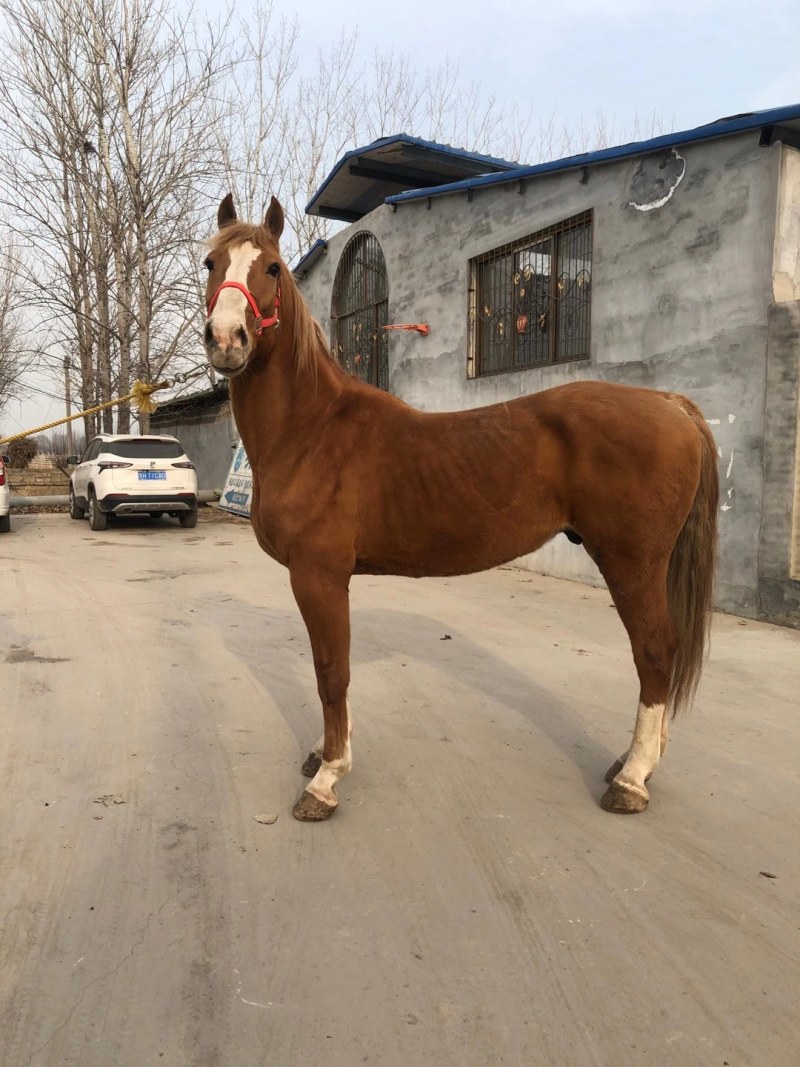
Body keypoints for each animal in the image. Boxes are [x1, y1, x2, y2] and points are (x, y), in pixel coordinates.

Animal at [202, 194, 718, 822]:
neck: (311, 430)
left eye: (273, 269)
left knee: (655, 651)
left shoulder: (319, 576)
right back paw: (635, 761)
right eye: (210, 263)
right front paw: (323, 754)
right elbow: (329, 671)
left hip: (632, 563)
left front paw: (327, 778)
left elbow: (331, 673)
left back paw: (633, 779)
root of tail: (670, 403)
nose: (226, 340)